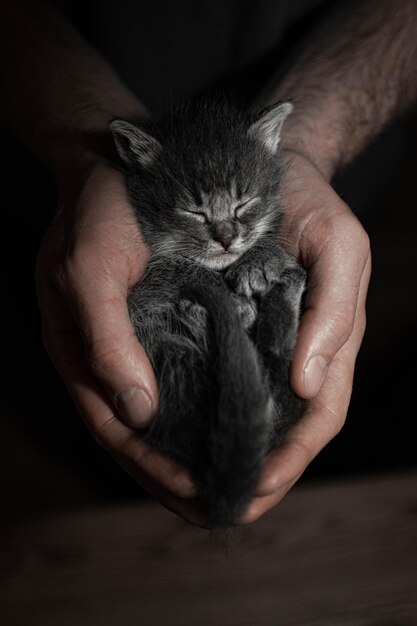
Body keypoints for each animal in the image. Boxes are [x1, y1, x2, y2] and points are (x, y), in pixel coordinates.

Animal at [110, 96, 306, 528]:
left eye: (244, 203)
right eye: (194, 212)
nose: (227, 239)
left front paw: (262, 258)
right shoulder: (147, 286)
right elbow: (183, 272)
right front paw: (229, 294)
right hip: (171, 355)